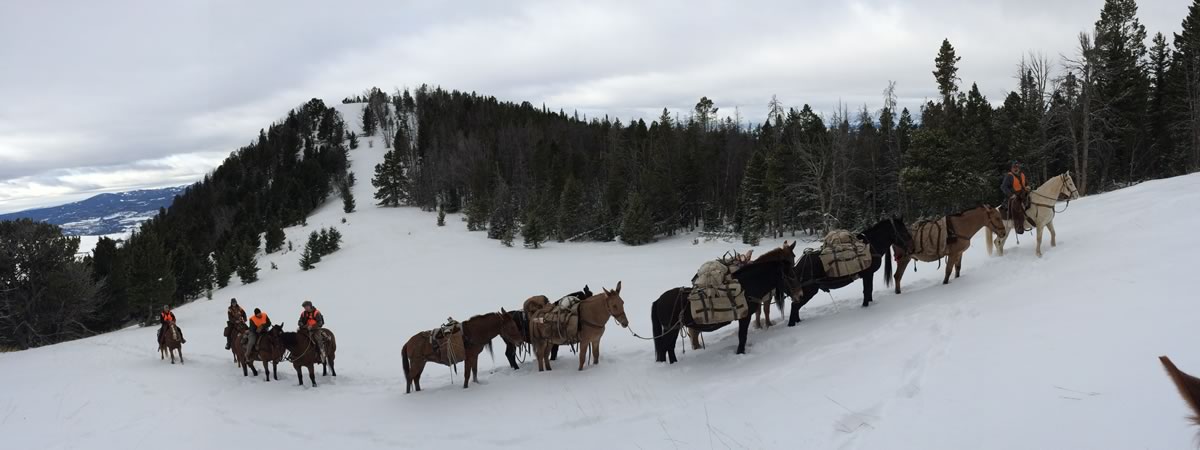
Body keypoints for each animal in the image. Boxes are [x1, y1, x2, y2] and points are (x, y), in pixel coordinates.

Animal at [648, 241, 796, 364]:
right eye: (789, 272)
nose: (799, 294)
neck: (748, 285)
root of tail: (658, 300)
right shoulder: (746, 316)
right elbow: (744, 334)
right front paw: (741, 351)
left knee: (669, 346)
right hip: (671, 329)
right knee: (668, 346)